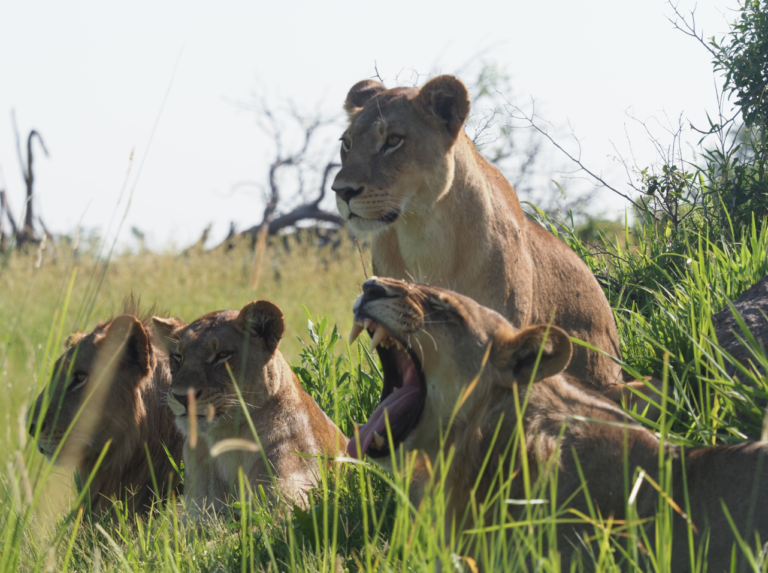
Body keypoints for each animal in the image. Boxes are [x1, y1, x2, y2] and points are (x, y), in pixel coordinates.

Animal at [152, 300, 347, 516]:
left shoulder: (288, 501)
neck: (224, 439)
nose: (181, 396)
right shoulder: (197, 509)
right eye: (178, 356)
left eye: (222, 355)